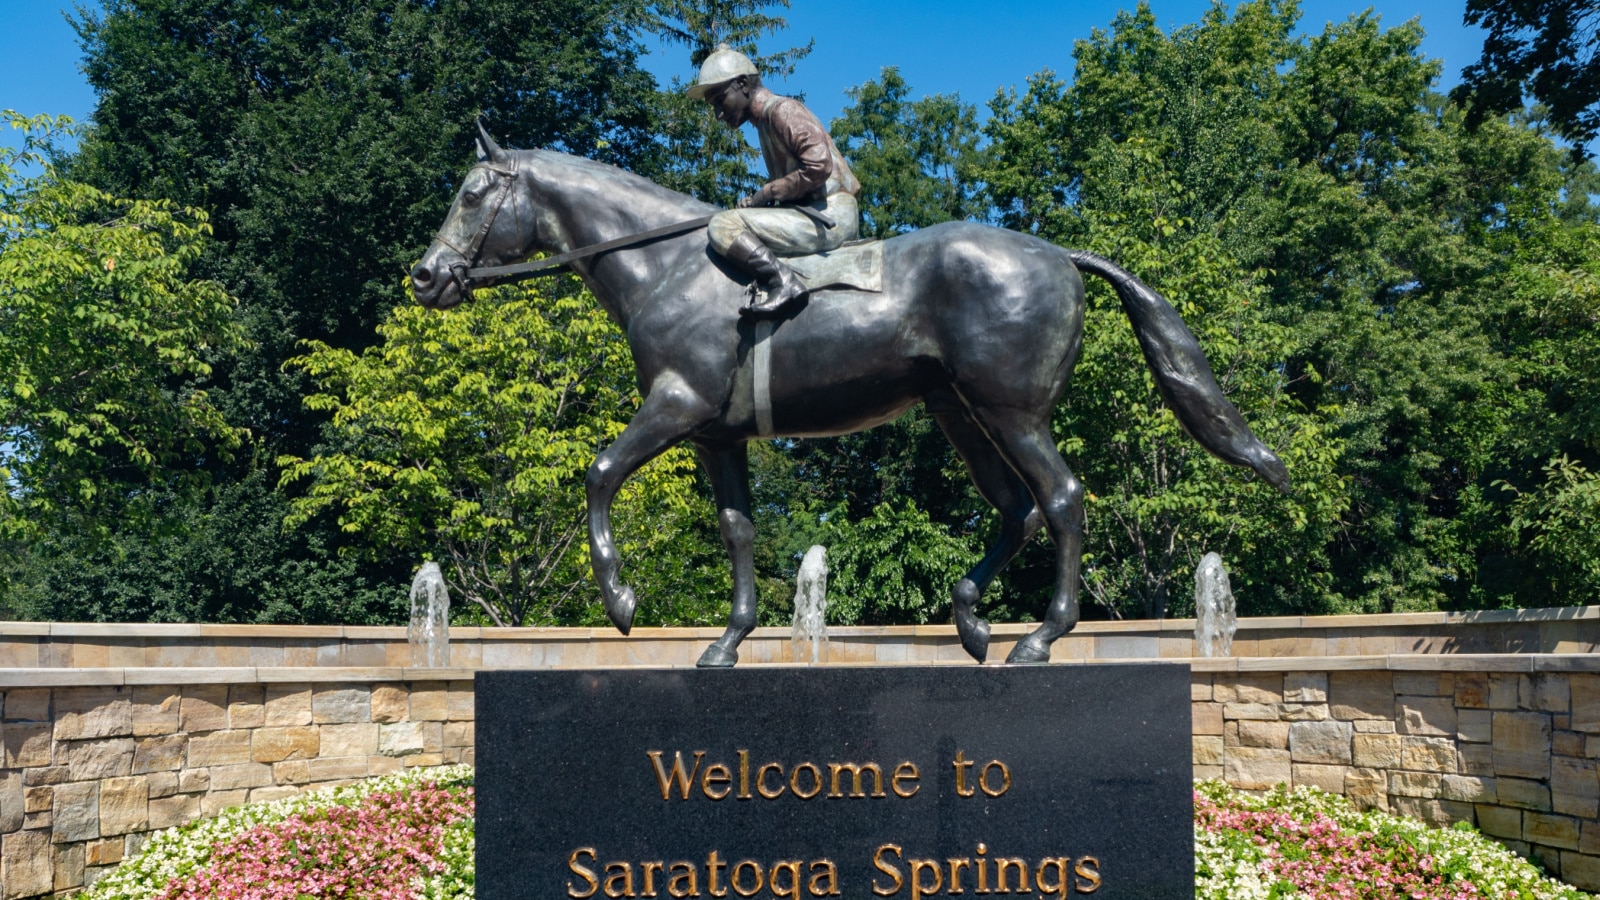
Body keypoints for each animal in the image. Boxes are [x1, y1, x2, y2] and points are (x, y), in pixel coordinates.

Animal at [409, 122, 1286, 662]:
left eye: (473, 193)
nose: (426, 275)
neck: (667, 266)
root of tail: (1058, 254)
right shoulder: (716, 436)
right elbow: (738, 532)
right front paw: (726, 642)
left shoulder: (677, 406)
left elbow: (597, 472)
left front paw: (622, 599)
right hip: (959, 412)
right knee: (1018, 509)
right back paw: (971, 619)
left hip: (1010, 410)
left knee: (1062, 500)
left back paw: (1038, 638)